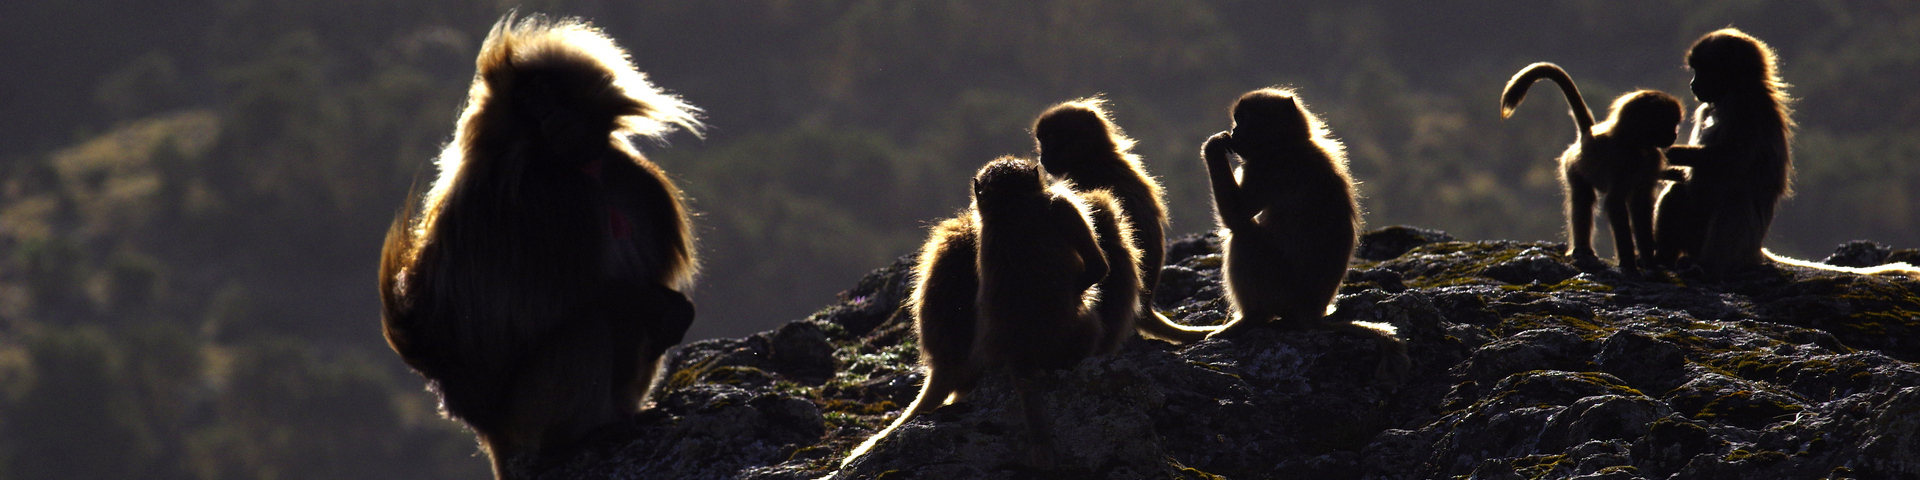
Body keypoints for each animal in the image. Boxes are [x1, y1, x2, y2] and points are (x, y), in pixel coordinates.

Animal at [377, 15, 703, 479]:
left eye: (545, 93)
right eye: (529, 104)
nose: (548, 116)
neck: (585, 169)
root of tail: (489, 434)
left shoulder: (634, 179)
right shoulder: (545, 199)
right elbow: (561, 299)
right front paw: (668, 308)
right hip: (527, 413)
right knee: (592, 321)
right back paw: (585, 435)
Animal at [1200, 88, 1409, 380]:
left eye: (1246, 119)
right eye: (1238, 119)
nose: (1234, 130)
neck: (1290, 144)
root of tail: (1312, 313)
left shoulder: (1268, 169)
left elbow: (1236, 215)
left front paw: (1213, 146)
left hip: (1280, 288)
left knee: (1244, 236)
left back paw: (1249, 319)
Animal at [1500, 63, 1685, 273]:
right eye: (1669, 123)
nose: (1674, 135)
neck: (1634, 143)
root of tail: (1588, 134)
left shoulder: (1650, 162)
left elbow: (1641, 205)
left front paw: (1650, 262)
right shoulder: (1623, 162)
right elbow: (1615, 203)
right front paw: (1629, 264)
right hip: (1573, 166)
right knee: (1583, 198)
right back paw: (1582, 249)